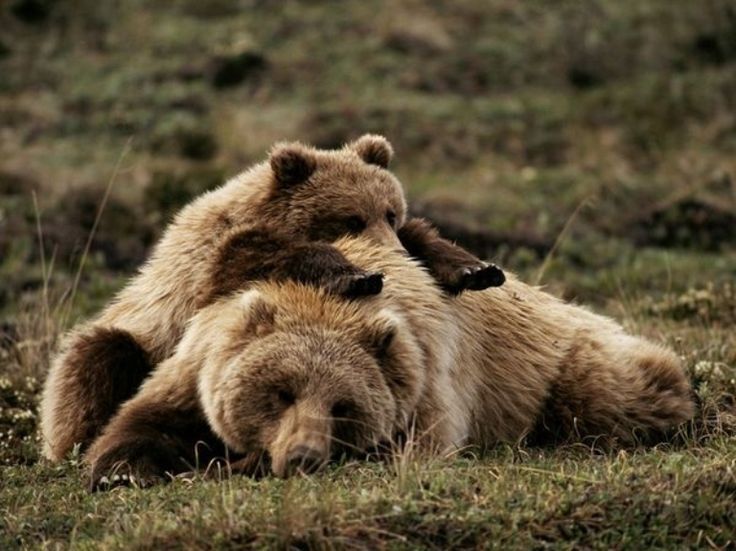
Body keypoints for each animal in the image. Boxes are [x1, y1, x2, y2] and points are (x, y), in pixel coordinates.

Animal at [40, 135, 505, 463]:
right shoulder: (209, 266)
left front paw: (475, 269)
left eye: (392, 212)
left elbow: (427, 239)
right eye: (351, 218)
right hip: (135, 335)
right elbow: (259, 256)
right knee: (97, 357)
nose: (394, 255)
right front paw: (356, 275)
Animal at [85, 235, 694, 488]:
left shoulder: (424, 381)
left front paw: (229, 464)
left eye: (343, 405)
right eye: (280, 392)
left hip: (560, 362)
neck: (321, 301)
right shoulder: (197, 363)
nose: (303, 456)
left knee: (616, 390)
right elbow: (138, 428)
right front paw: (130, 471)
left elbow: (408, 452)